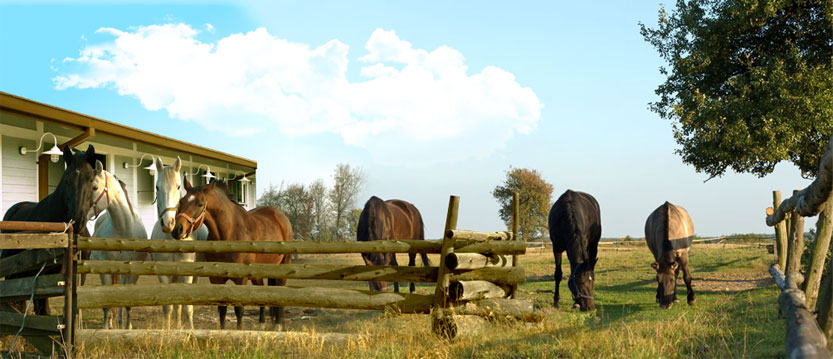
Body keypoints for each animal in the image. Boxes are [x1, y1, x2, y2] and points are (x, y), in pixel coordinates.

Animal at [90, 162, 150, 330]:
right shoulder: (105, 270)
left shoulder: (133, 272)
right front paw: (106, 328)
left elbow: (127, 302)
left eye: (94, 187)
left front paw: (127, 327)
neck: (123, 229)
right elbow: (107, 302)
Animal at [147, 157, 206, 330]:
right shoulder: (164, 275)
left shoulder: (186, 275)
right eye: (157, 187)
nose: (169, 223)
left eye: (178, 186)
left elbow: (187, 307)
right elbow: (168, 307)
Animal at [169, 181, 292, 330]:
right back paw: (262, 324)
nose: (177, 230)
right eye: (181, 201)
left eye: (200, 204)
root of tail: (281, 216)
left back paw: (277, 325)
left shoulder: (241, 279)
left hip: (283, 265)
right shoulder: (217, 279)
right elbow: (222, 309)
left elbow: (239, 309)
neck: (230, 232)